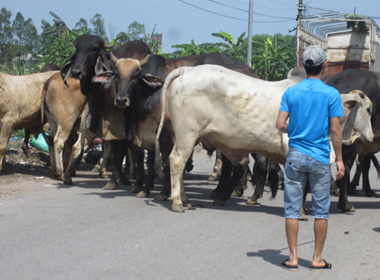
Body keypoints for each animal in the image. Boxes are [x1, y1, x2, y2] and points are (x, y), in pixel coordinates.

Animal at [155, 64, 374, 211]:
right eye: (369, 109)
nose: (372, 135)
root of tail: (186, 70)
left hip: (187, 137)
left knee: (182, 164)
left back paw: (186, 199)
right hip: (187, 133)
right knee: (176, 161)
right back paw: (177, 201)